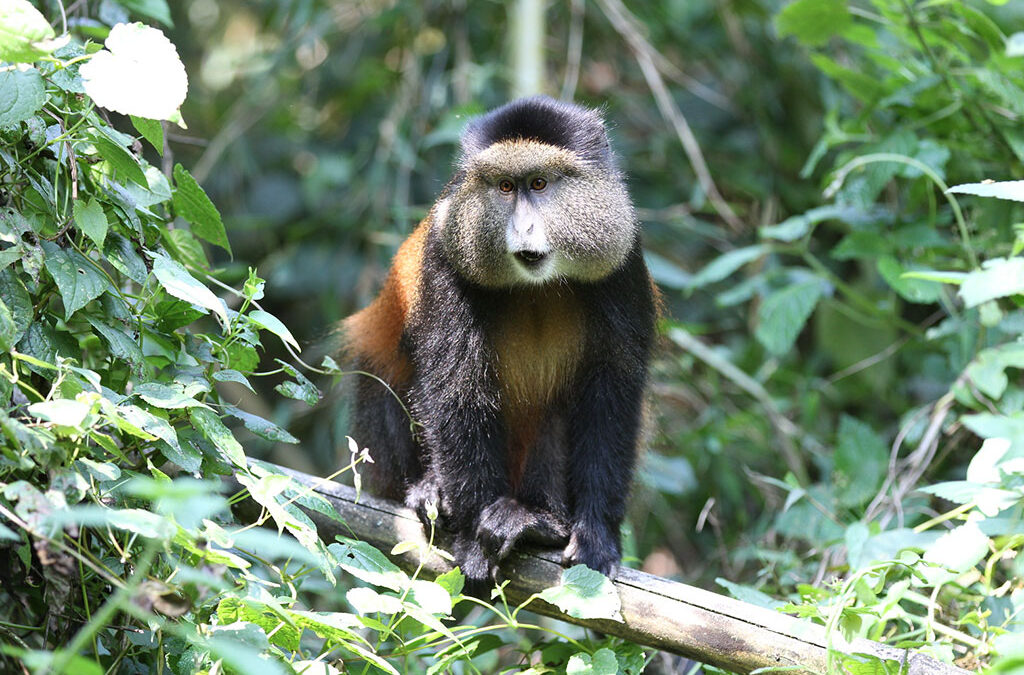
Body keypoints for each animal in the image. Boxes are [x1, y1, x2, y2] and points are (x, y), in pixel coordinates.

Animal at [340, 96, 657, 593]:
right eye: (506, 186)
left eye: (540, 183)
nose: (523, 227)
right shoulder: (445, 255)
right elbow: (457, 387)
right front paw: (472, 539)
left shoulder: (623, 260)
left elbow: (611, 394)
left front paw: (596, 537)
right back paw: (432, 491)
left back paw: (540, 522)